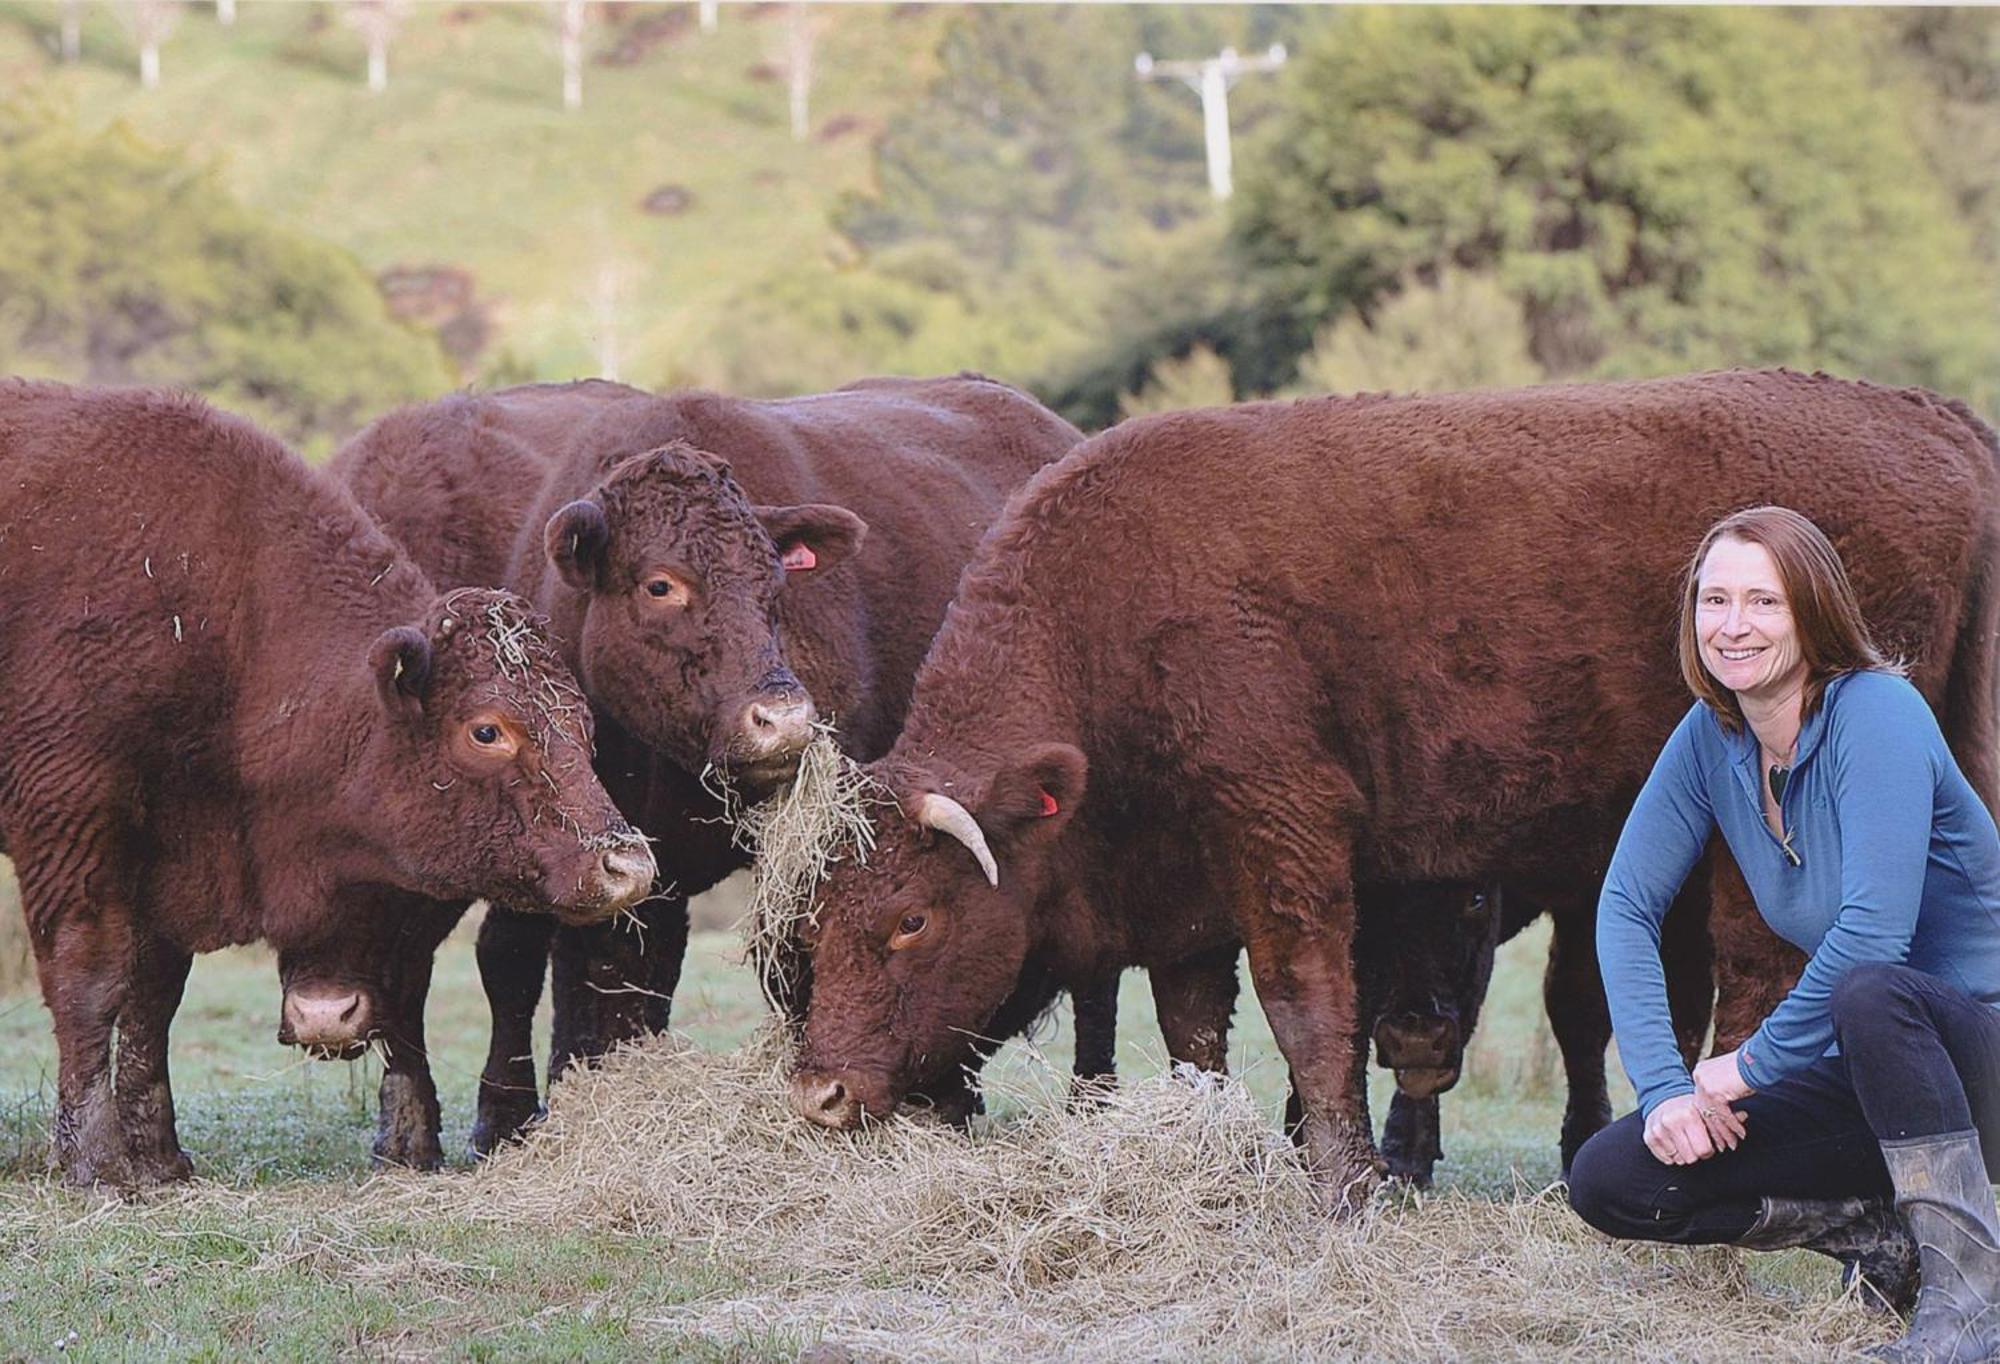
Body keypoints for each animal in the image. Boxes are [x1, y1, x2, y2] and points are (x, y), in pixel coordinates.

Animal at [0, 380, 652, 1176]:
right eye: (486, 729)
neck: (228, 616)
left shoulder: (172, 860)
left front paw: (160, 1161)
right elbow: (91, 984)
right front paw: (98, 1165)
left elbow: (154, 997)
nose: (626, 865)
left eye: (586, 730)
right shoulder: (71, 826)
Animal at [788, 370, 1992, 1200]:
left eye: (910, 917)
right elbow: (1194, 1035)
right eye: (813, 918)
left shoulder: (1285, 830)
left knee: (1754, 977)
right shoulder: (1185, 898)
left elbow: (1310, 1007)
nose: (819, 1093)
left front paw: (1342, 1185)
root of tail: (1931, 419)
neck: (1115, 605)